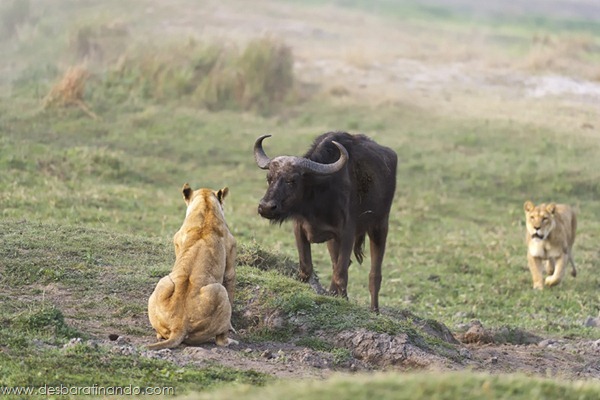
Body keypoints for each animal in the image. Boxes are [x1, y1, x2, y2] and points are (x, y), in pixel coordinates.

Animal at [148, 184, 237, 350]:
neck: (206, 207)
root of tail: (179, 324)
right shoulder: (230, 268)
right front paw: (232, 327)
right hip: (219, 290)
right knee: (220, 340)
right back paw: (230, 341)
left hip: (163, 282)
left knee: (159, 333)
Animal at [252, 132, 396, 312]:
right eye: (269, 178)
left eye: (292, 180)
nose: (265, 207)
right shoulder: (300, 229)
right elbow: (306, 270)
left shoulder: (347, 234)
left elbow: (341, 274)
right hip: (333, 241)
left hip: (379, 226)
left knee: (374, 275)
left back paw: (374, 310)